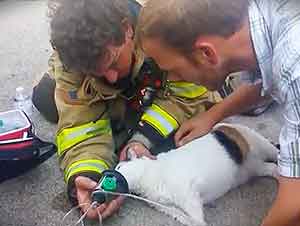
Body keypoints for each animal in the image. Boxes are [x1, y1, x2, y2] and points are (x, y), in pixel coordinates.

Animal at [114, 123, 276, 226]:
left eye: (119, 166)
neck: (149, 173)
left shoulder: (190, 195)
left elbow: (197, 219)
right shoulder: (168, 206)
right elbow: (186, 217)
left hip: (262, 144)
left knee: (276, 154)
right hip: (258, 168)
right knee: (274, 168)